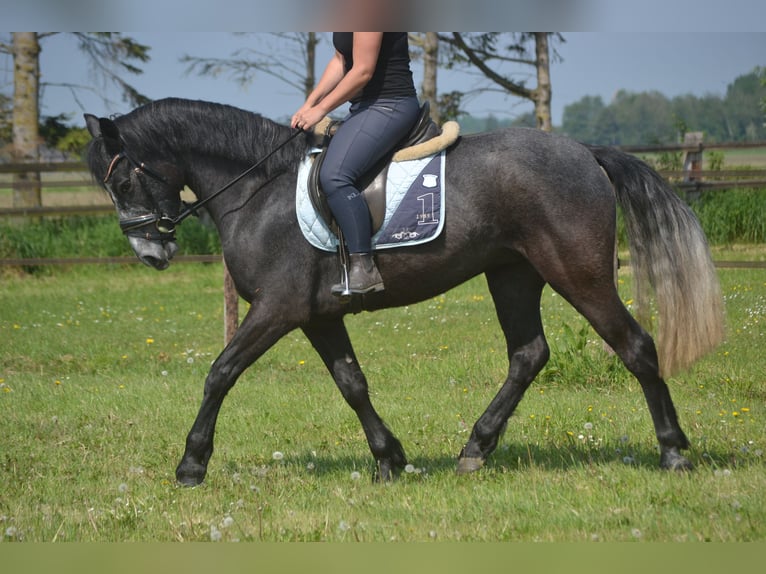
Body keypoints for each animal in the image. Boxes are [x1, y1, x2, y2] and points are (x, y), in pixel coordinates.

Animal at [84, 98, 724, 486]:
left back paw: (673, 451)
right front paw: (389, 459)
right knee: (528, 354)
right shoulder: (317, 315)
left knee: (636, 348)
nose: (150, 254)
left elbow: (219, 373)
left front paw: (191, 464)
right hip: (512, 274)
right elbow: (352, 383)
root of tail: (586, 152)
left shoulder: (277, 309)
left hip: (579, 275)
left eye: (123, 182)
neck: (259, 191)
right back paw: (476, 448)